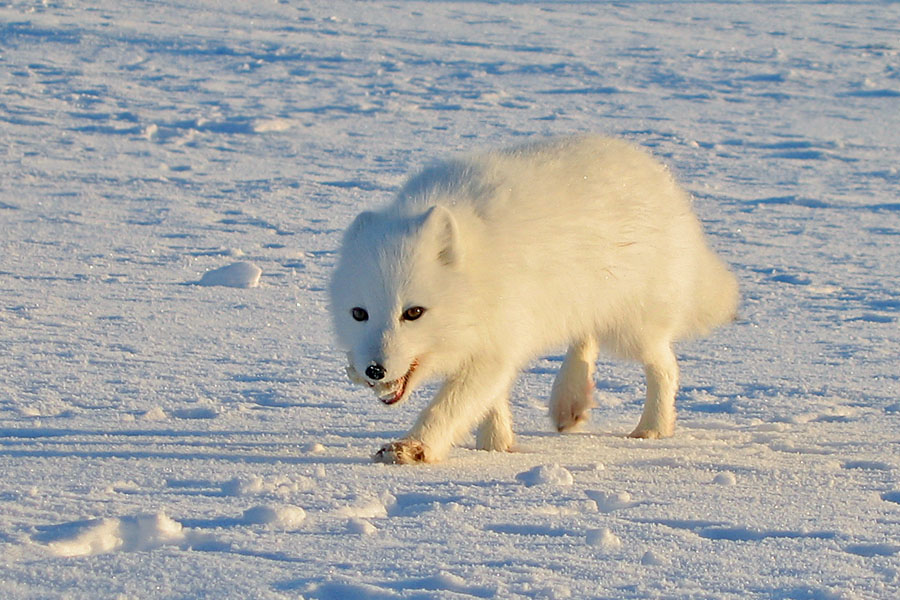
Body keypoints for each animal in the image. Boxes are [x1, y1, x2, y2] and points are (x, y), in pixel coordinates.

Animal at [330, 135, 740, 464]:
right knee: (584, 338)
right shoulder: (492, 342)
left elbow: (451, 406)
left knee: (665, 366)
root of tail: (660, 175)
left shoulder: (496, 344)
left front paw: (413, 448)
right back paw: (570, 400)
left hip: (630, 328)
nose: (374, 370)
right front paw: (495, 444)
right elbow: (489, 401)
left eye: (413, 312)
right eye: (359, 314)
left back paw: (653, 427)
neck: (477, 272)